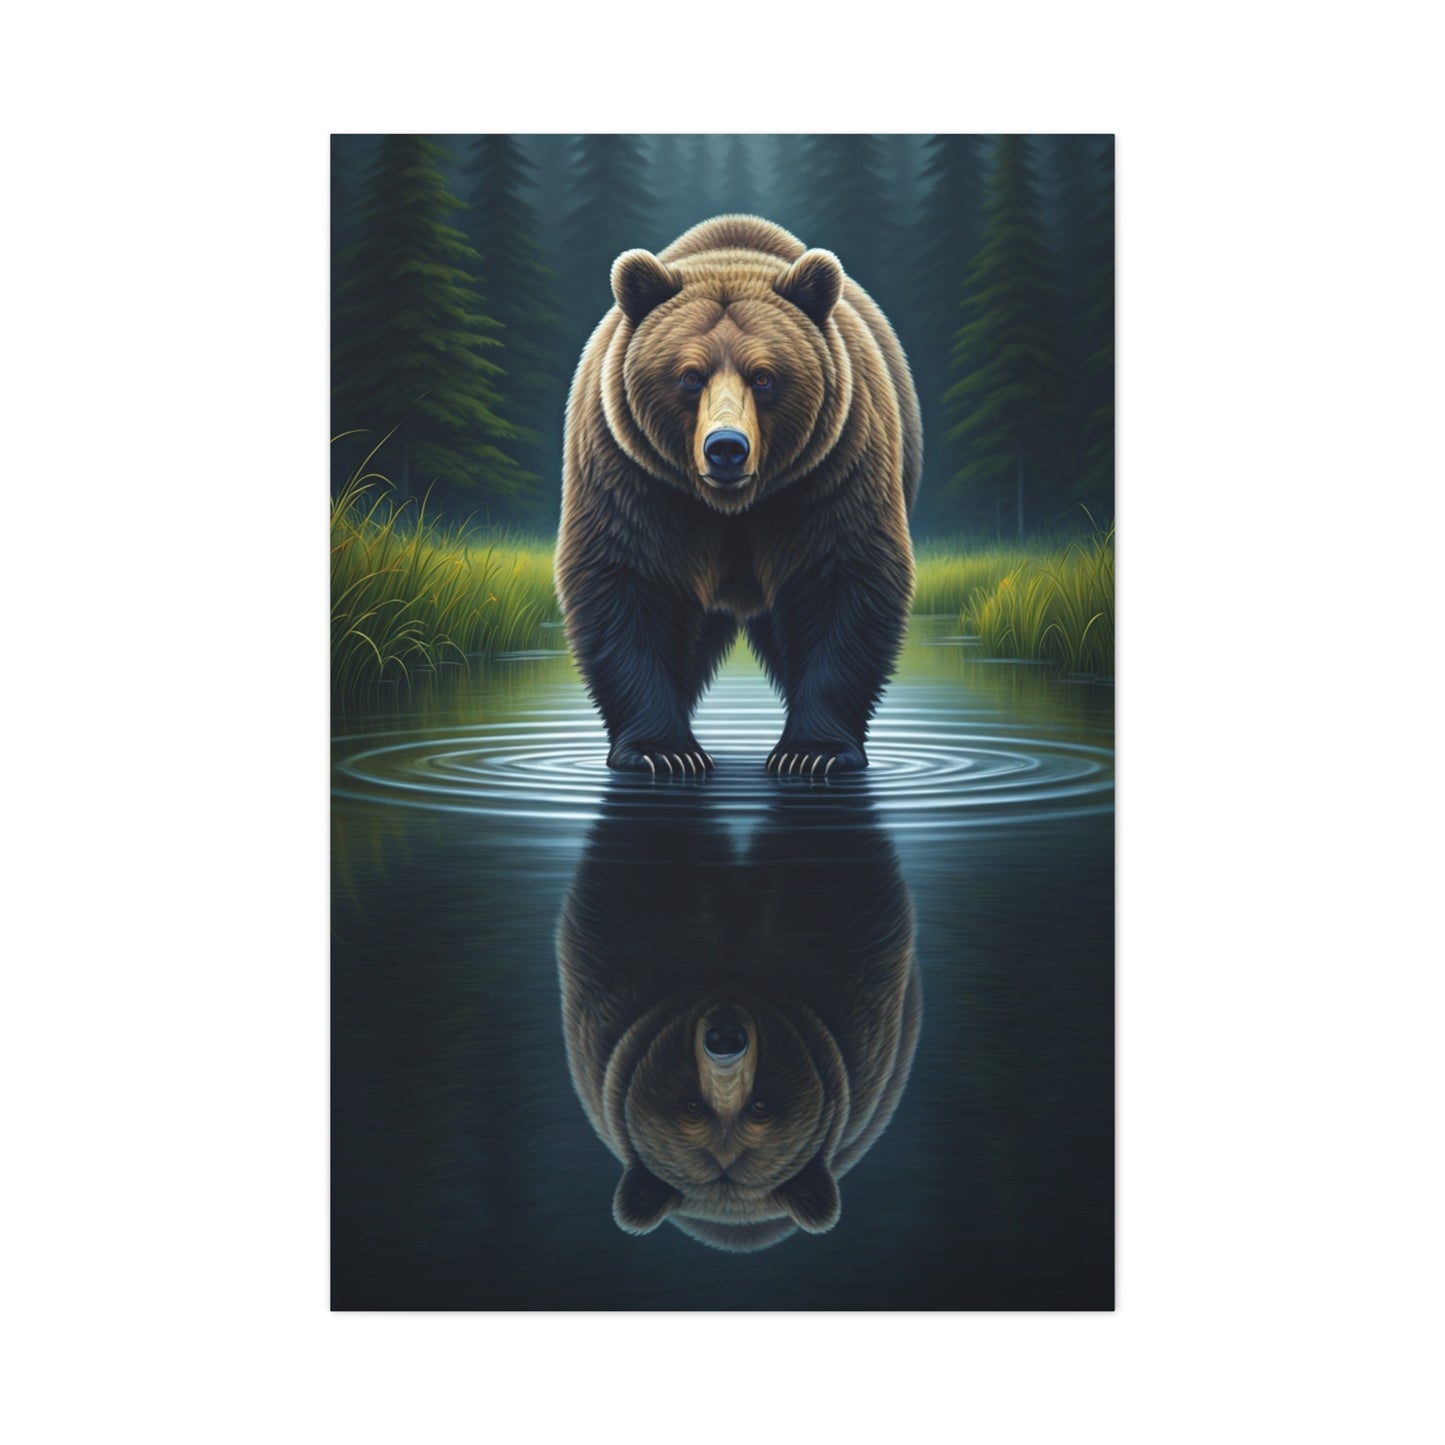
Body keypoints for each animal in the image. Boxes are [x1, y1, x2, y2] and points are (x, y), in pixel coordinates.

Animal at [556, 214, 922, 776]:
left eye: (764, 376)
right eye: (689, 376)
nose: (726, 447)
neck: (732, 507)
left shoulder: (832, 469)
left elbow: (844, 578)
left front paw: (811, 753)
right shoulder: (633, 474)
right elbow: (626, 580)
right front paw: (664, 751)